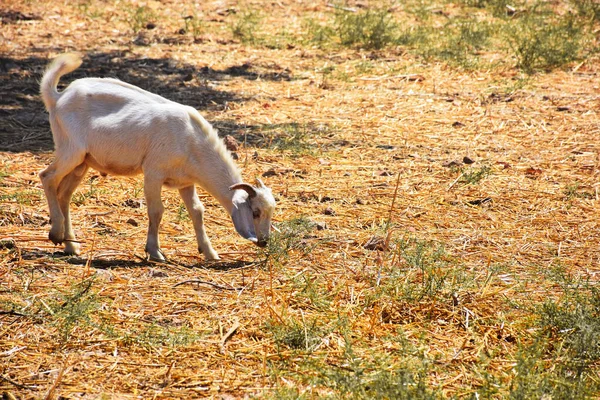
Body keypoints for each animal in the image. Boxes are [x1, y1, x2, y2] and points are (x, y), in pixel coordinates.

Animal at [38, 53, 278, 260]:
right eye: (255, 212)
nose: (264, 242)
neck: (192, 139)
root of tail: (58, 98)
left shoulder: (186, 182)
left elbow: (197, 211)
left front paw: (210, 253)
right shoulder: (153, 173)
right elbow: (156, 211)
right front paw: (154, 252)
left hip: (83, 162)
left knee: (64, 194)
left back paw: (71, 245)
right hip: (70, 149)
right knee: (47, 177)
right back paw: (56, 233)